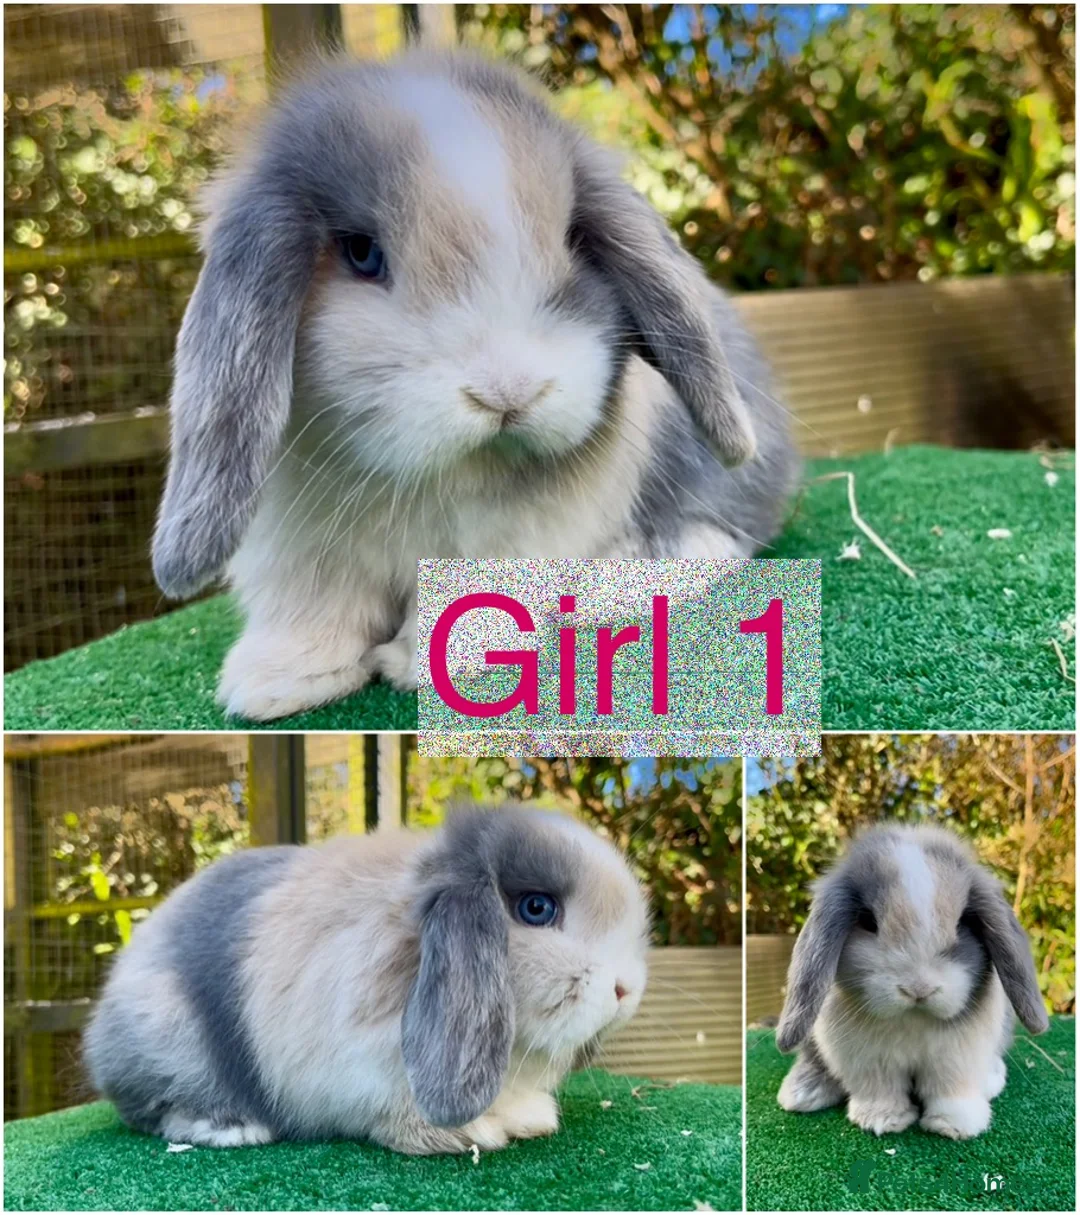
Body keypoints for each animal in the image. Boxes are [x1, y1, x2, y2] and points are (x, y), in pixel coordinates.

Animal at [83, 805, 649, 1153]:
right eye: (536, 908)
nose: (625, 990)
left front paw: (532, 1118)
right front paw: (471, 1133)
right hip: (168, 1034)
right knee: (154, 1110)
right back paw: (231, 1128)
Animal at [150, 48, 798, 721]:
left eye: (572, 239)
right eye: (361, 253)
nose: (509, 391)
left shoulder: (516, 533)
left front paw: (429, 664)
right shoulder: (299, 551)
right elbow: (312, 608)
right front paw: (273, 683)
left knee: (714, 535)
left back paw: (612, 587)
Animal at [774, 822, 1048, 1141]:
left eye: (962, 924)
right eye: (867, 922)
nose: (919, 990)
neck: (913, 1018)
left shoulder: (958, 1056)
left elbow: (951, 1087)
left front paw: (955, 1125)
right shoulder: (867, 1060)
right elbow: (880, 1088)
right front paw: (882, 1119)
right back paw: (803, 1094)